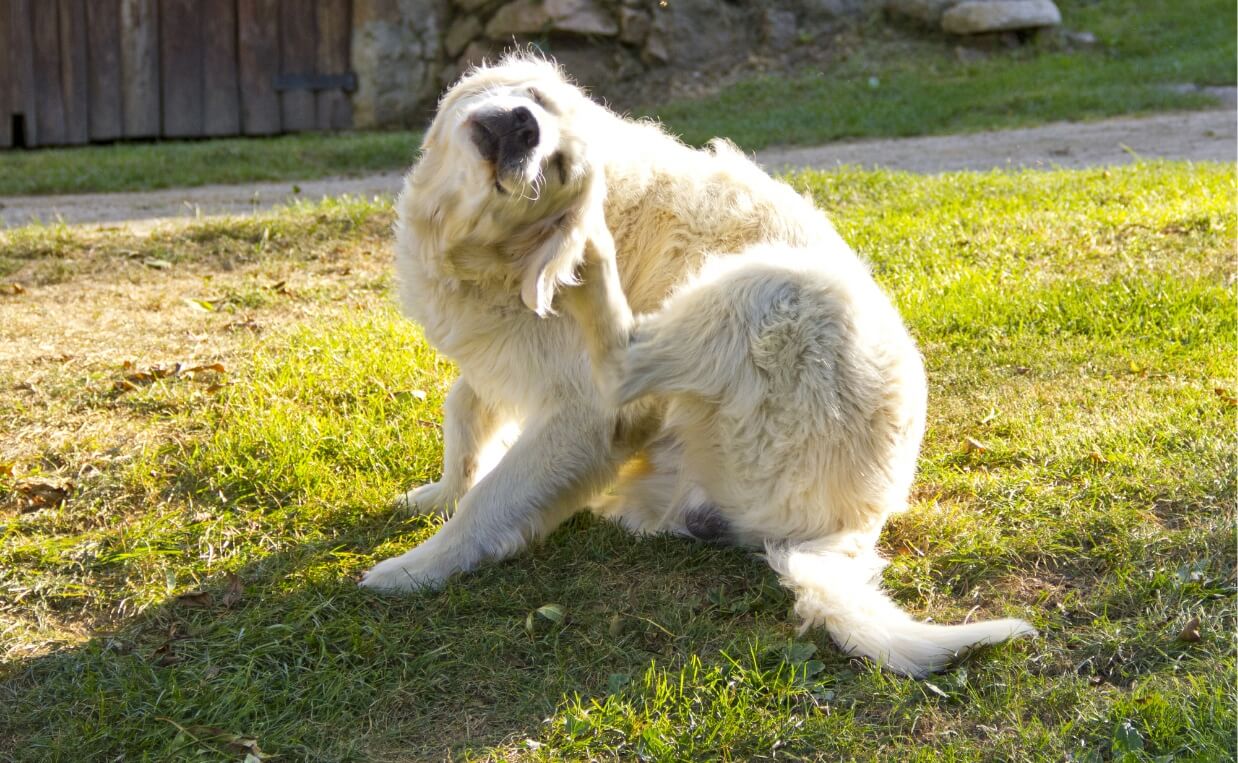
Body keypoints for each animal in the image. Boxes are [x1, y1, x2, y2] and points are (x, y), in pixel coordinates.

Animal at [361, 52, 1034, 673]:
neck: (486, 254)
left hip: (779, 285)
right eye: (535, 100)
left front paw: (417, 567)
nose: (527, 126)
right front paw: (440, 492)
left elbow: (492, 498)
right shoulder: (499, 355)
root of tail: (848, 531)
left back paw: (593, 263)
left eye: (559, 168)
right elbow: (464, 410)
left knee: (626, 362)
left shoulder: (583, 414)